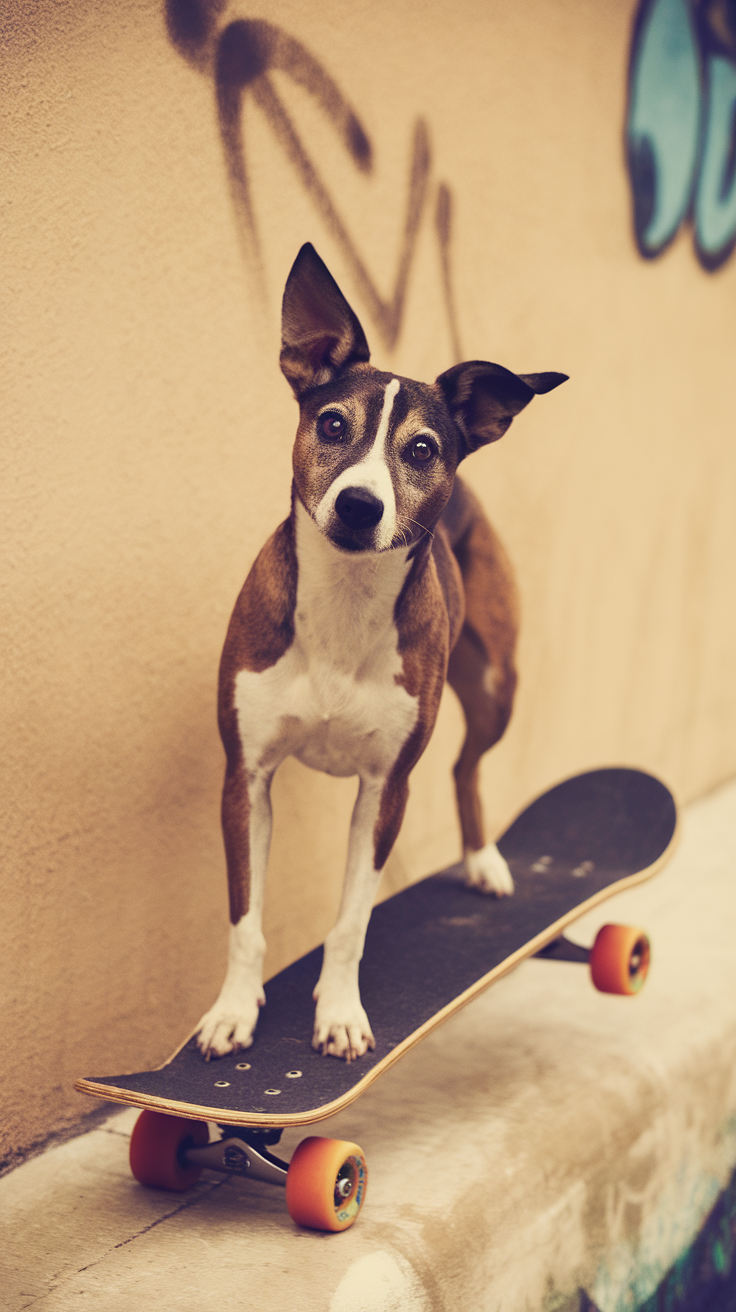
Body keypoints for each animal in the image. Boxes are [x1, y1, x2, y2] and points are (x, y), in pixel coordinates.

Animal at [195, 246, 569, 1060]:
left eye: (422, 449)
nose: (361, 505)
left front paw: (338, 1013)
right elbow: (245, 920)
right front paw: (234, 1011)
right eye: (332, 423)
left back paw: (483, 860)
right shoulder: (246, 778)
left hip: (496, 685)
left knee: (465, 766)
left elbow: (351, 923)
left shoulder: (385, 787)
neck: (345, 597)